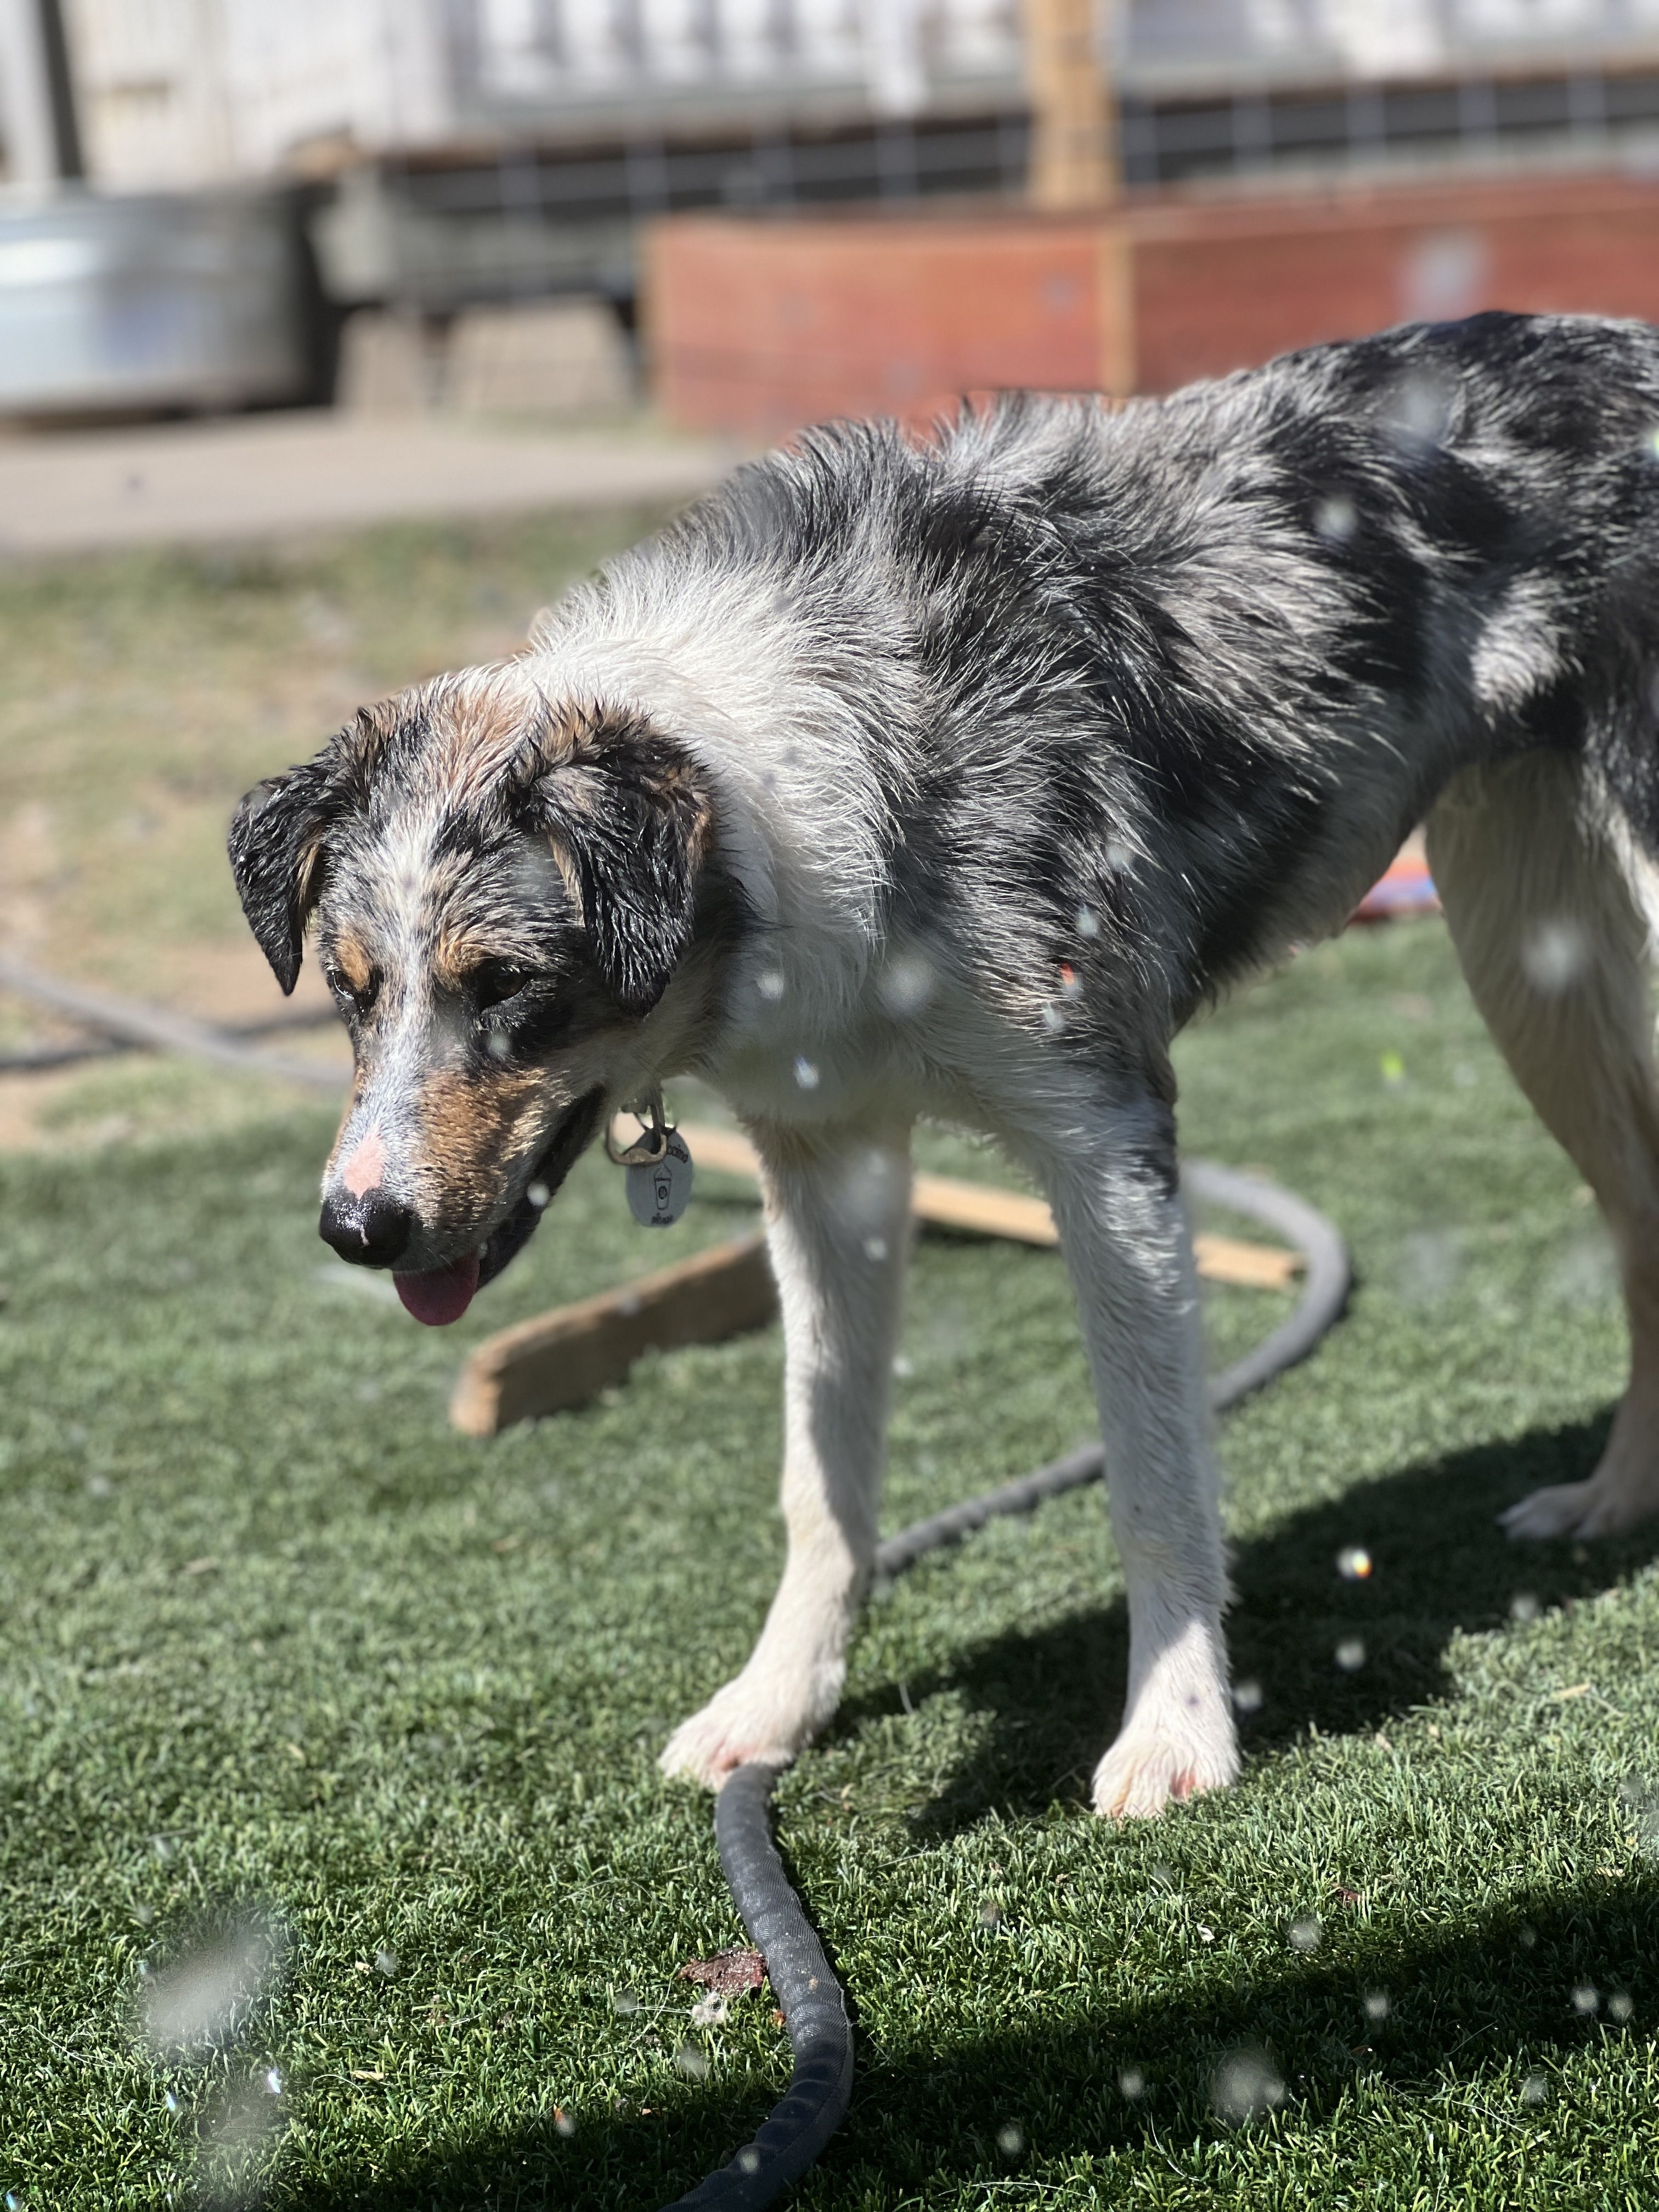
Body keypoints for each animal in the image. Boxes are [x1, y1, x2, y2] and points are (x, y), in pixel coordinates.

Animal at [234, 316, 1659, 1831]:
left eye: (505, 984)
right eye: (350, 991)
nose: (355, 1228)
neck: (795, 792)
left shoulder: (1109, 1145)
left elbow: (1154, 1477)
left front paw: (1177, 1735)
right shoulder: (831, 1168)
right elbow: (823, 1477)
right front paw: (774, 1711)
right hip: (1531, 976)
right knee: (1643, 1229)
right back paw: (1614, 1500)